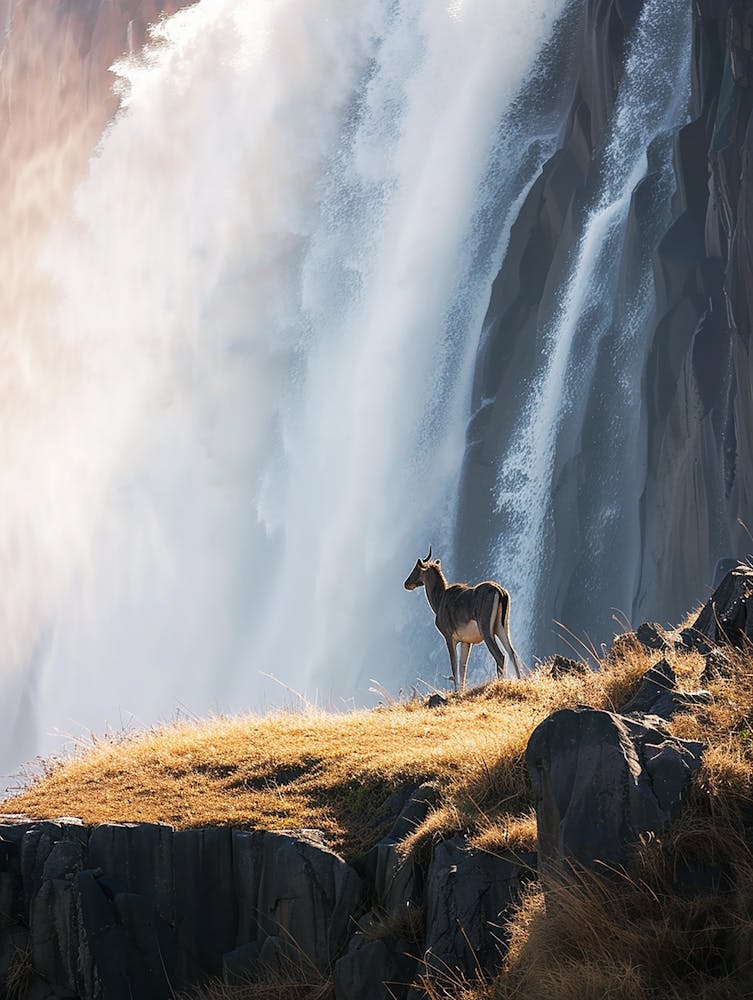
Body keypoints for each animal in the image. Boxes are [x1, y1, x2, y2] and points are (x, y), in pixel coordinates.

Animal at [404, 548, 524, 692]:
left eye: (416, 568)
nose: (406, 583)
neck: (441, 599)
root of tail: (499, 590)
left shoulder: (449, 638)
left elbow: (454, 665)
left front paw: (456, 692)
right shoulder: (466, 642)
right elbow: (463, 666)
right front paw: (461, 691)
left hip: (487, 632)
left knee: (501, 656)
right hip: (501, 628)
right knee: (512, 653)